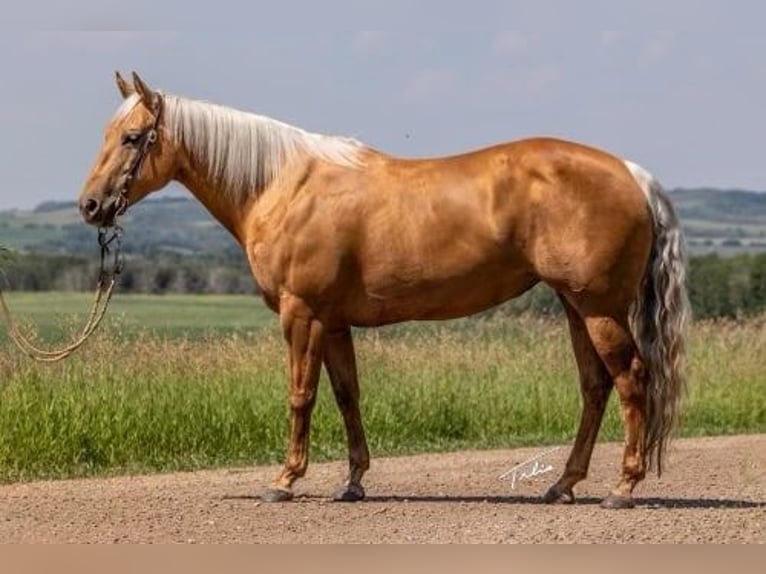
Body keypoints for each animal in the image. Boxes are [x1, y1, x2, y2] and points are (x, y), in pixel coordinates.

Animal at [78, 72, 689, 509]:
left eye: (132, 138)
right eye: (105, 135)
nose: (90, 205)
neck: (283, 185)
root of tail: (632, 174)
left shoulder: (301, 314)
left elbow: (301, 395)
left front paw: (285, 480)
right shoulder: (334, 322)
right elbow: (347, 395)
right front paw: (352, 482)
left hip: (598, 308)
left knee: (632, 381)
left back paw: (623, 488)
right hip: (576, 306)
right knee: (595, 387)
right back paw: (563, 484)